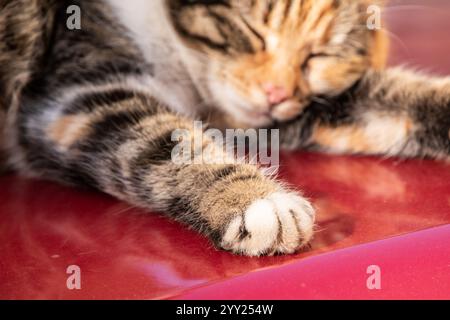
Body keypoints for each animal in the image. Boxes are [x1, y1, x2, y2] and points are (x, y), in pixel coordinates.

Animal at [0, 0, 450, 255]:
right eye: (253, 31)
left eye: (318, 56)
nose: (276, 93)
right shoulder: (69, 100)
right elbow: (165, 142)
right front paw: (252, 198)